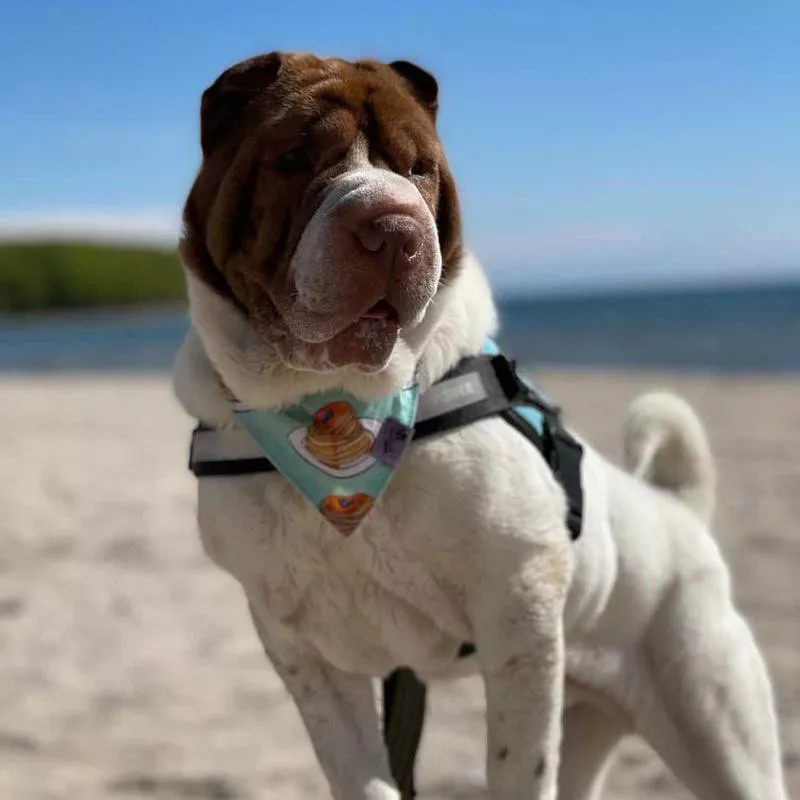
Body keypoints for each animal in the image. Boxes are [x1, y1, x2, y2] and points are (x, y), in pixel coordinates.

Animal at [173, 53, 788, 796]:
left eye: (418, 168)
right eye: (293, 157)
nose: (395, 226)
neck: (337, 402)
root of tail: (680, 514)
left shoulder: (520, 616)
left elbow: (519, 765)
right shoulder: (303, 654)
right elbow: (361, 773)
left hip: (716, 718)